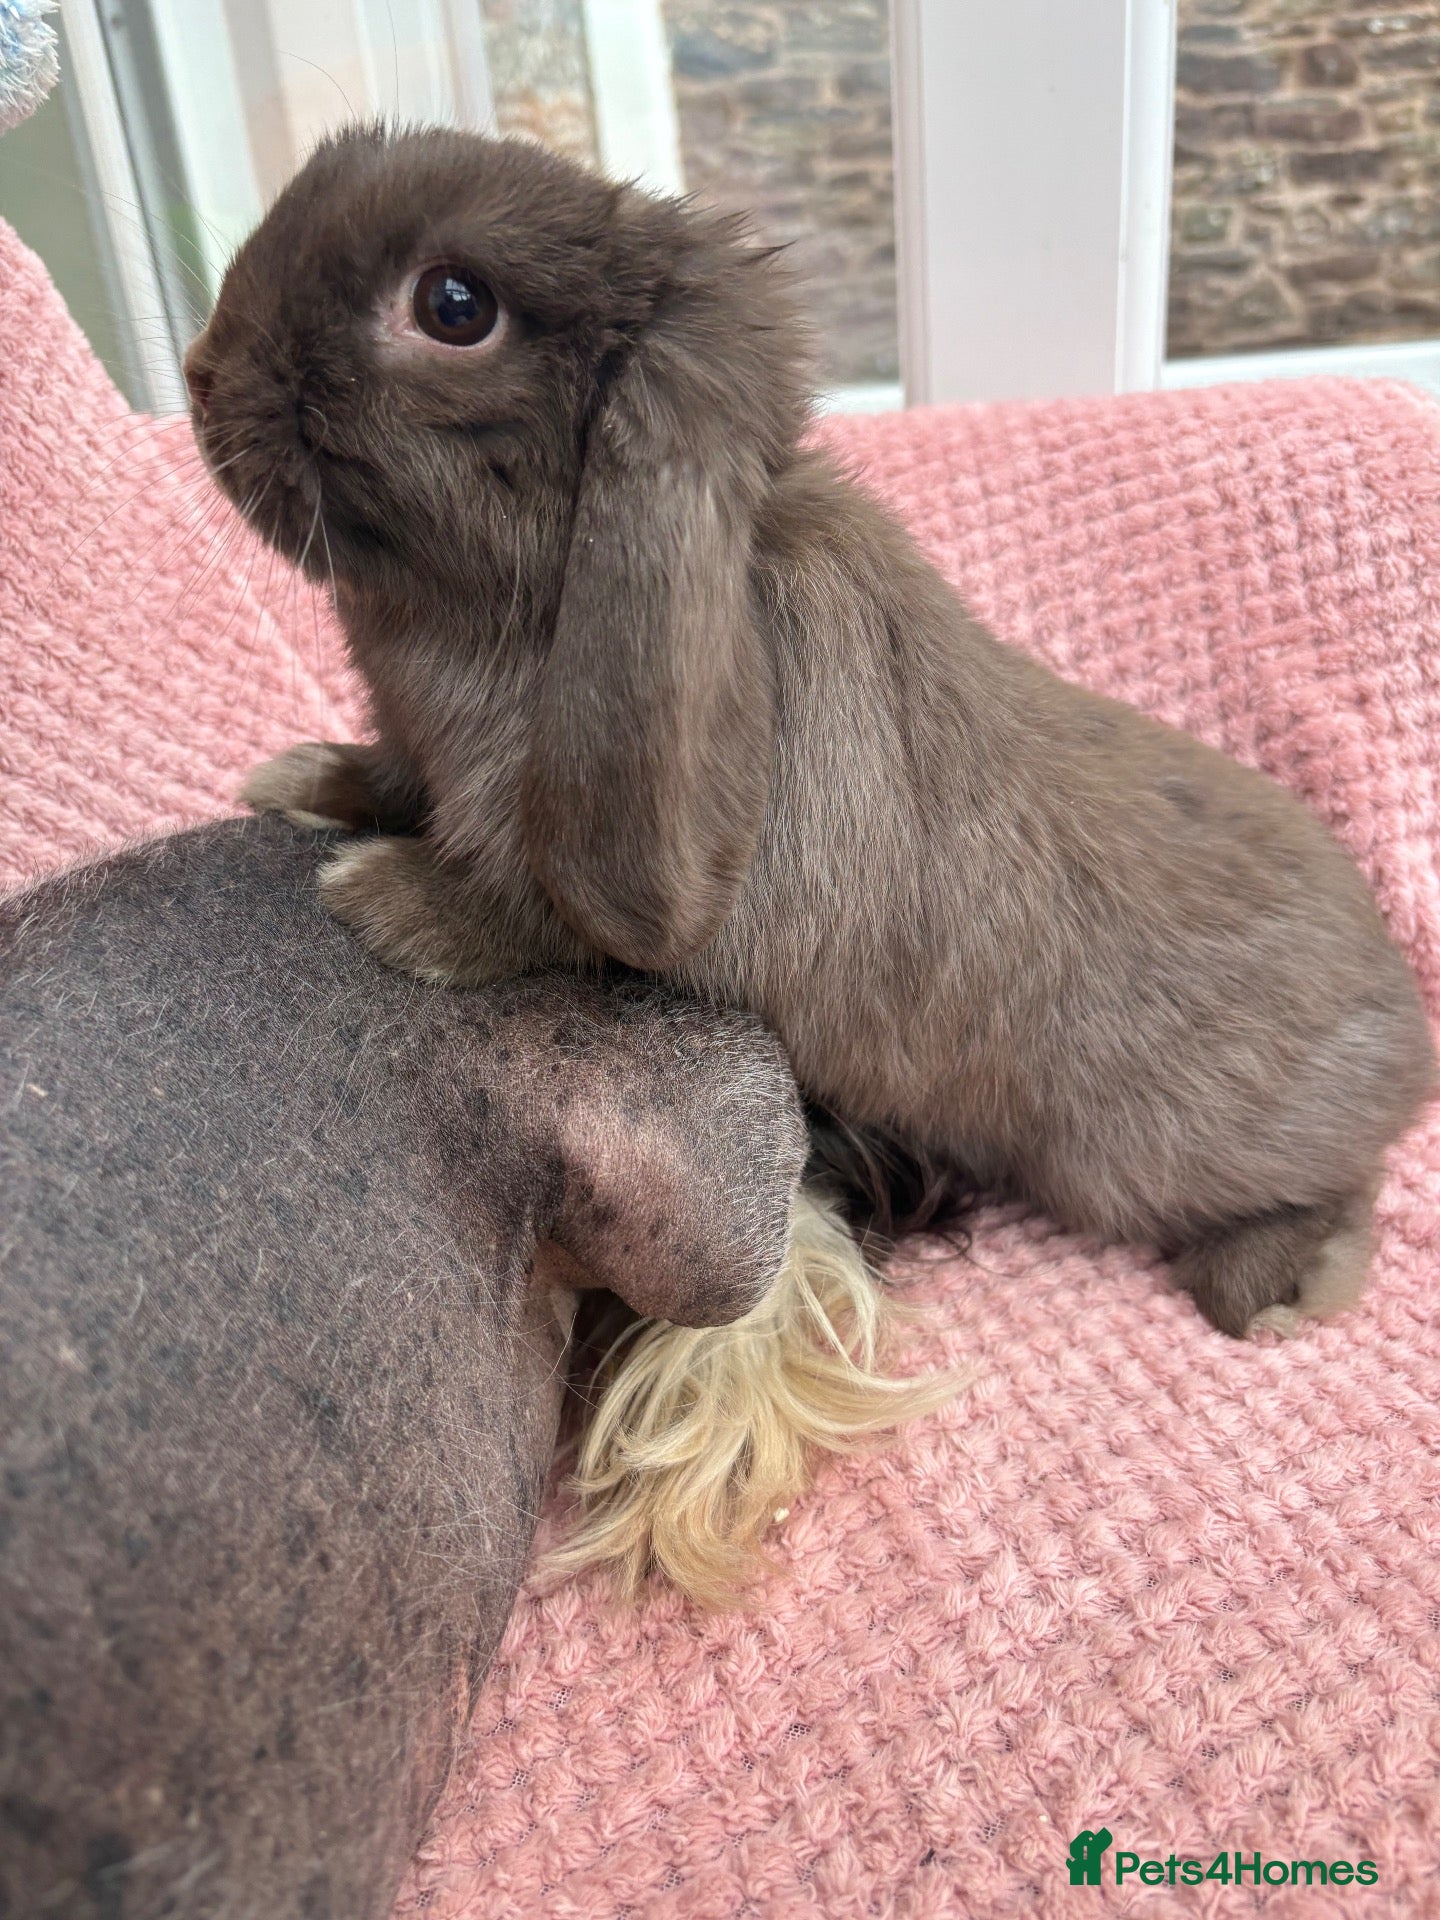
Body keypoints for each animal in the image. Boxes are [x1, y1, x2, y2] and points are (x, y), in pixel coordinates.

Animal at [185, 123, 1435, 1340]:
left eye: (454, 306)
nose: (200, 373)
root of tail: (1407, 1039)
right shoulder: (424, 751)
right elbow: (393, 776)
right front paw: (302, 780)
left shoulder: (573, 854)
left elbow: (524, 910)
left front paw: (381, 901)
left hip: (1140, 1156)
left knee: (1340, 1190)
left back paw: (1275, 1291)